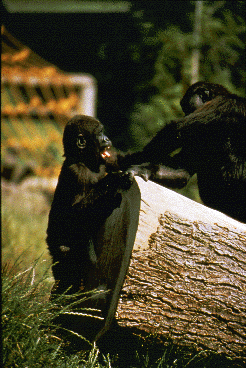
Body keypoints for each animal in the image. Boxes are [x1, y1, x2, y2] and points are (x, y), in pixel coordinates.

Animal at [47, 115, 134, 296]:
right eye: (100, 133)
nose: (107, 139)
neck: (84, 160)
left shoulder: (107, 160)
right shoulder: (77, 173)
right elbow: (75, 213)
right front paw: (114, 180)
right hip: (58, 246)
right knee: (67, 266)